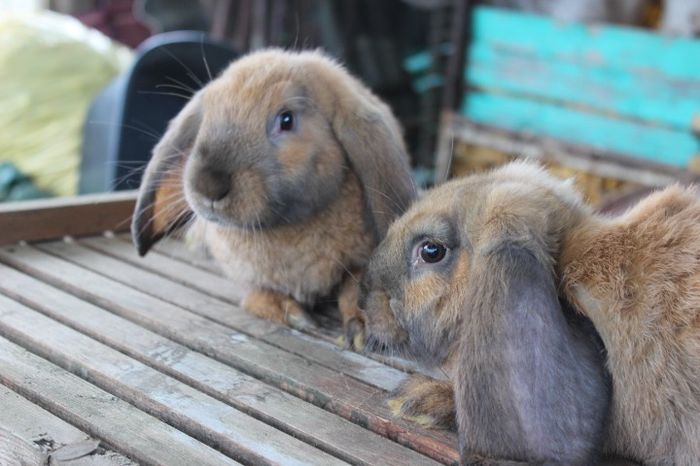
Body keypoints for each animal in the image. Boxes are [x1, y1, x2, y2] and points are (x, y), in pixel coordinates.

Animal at [132, 48, 416, 346]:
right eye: (206, 118)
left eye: (286, 119)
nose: (208, 186)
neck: (284, 227)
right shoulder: (247, 275)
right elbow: (259, 293)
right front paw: (292, 315)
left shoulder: (358, 262)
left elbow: (354, 286)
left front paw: (363, 327)